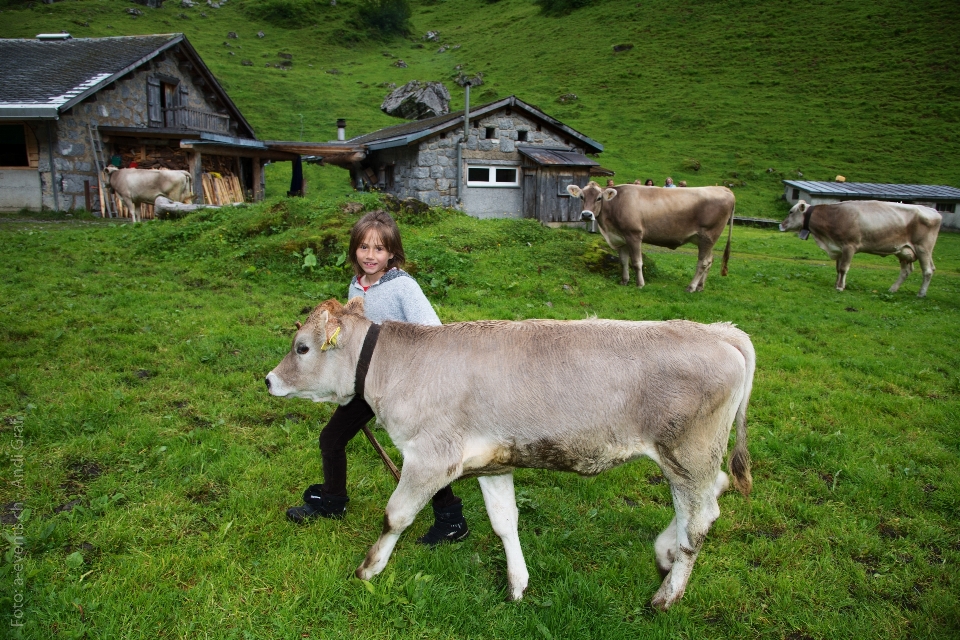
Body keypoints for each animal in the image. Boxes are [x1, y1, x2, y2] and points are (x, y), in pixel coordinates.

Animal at [264, 298, 756, 612]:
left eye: (301, 347)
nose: (268, 380)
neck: (401, 367)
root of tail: (718, 332)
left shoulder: (429, 457)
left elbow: (396, 516)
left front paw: (369, 569)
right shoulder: (490, 461)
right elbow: (505, 522)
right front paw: (517, 585)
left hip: (688, 453)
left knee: (699, 519)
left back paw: (667, 596)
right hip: (690, 459)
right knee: (710, 499)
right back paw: (665, 553)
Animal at [568, 179, 732, 292]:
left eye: (599, 198)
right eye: (581, 197)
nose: (587, 215)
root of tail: (723, 188)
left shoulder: (634, 235)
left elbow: (636, 262)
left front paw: (640, 284)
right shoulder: (621, 238)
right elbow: (623, 262)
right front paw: (624, 281)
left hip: (708, 236)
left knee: (703, 262)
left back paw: (691, 287)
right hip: (706, 240)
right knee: (709, 260)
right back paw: (700, 287)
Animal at [780, 200, 936, 298]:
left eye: (790, 212)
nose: (781, 225)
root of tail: (932, 210)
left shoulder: (849, 246)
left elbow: (844, 268)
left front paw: (840, 287)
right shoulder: (839, 248)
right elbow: (838, 269)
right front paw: (836, 284)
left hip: (923, 248)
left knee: (927, 271)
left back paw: (921, 293)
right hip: (904, 251)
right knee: (907, 271)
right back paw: (892, 289)